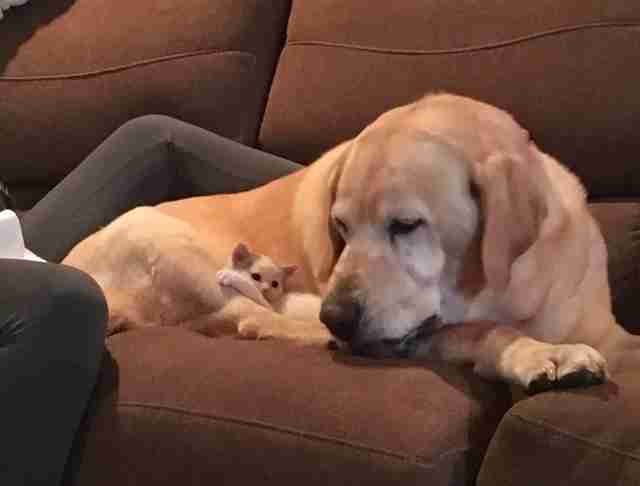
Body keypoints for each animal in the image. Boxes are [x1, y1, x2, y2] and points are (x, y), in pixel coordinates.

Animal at [63, 93, 636, 392]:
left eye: (406, 224)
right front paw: (541, 352)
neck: (515, 289)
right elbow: (485, 331)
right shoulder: (421, 334)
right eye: (340, 227)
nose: (335, 317)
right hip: (163, 237)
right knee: (244, 316)